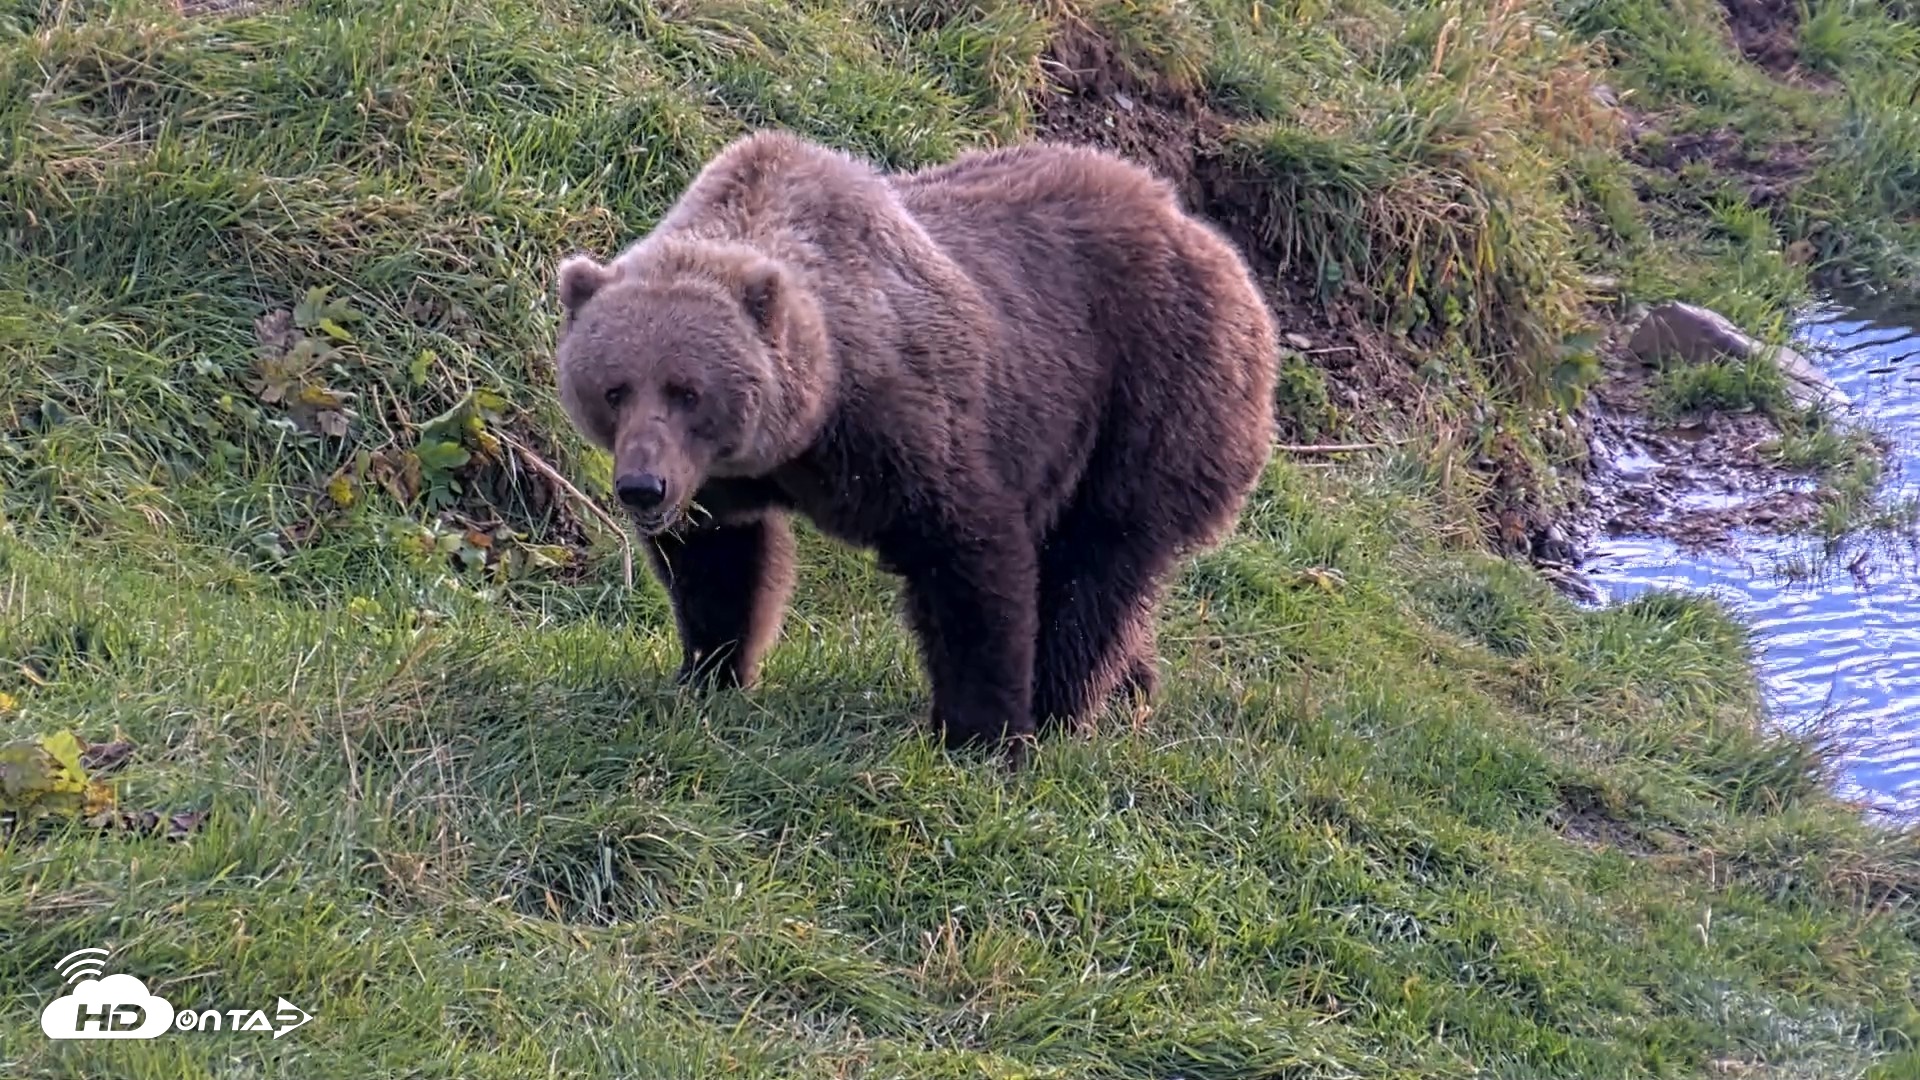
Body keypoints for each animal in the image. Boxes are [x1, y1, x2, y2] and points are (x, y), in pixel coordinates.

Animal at [550, 128, 1278, 762]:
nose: (643, 487)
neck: (809, 424)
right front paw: (709, 674)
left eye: (686, 391)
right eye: (614, 389)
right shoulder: (725, 482)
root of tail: (1214, 243)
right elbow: (718, 564)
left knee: (1097, 565)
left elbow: (968, 557)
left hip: (1148, 394)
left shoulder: (903, 424)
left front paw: (983, 735)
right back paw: (1133, 681)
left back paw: (1061, 707)